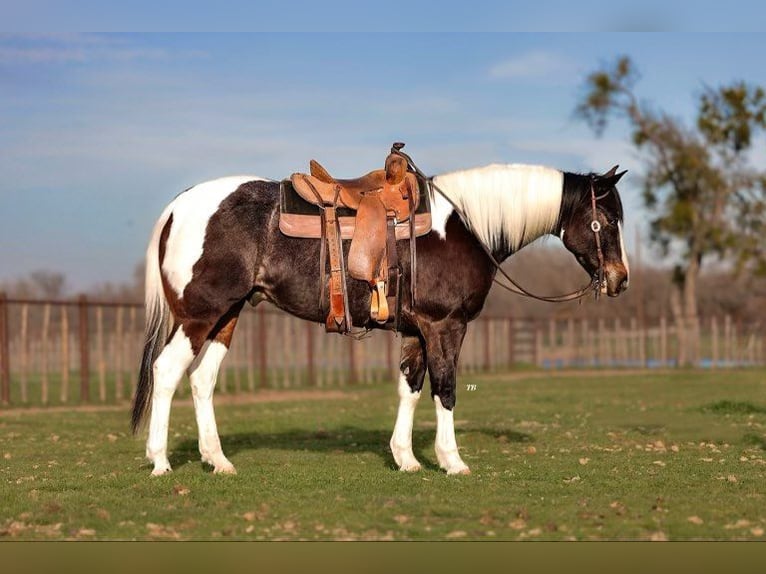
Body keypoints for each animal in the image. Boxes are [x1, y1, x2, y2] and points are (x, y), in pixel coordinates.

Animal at [132, 159, 632, 476]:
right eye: (606, 221)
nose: (620, 279)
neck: (466, 226)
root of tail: (178, 207)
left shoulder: (415, 331)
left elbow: (410, 389)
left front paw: (405, 458)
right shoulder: (445, 326)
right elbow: (445, 389)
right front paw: (452, 461)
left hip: (227, 316)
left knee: (201, 380)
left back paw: (218, 461)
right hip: (200, 315)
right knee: (167, 371)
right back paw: (160, 461)